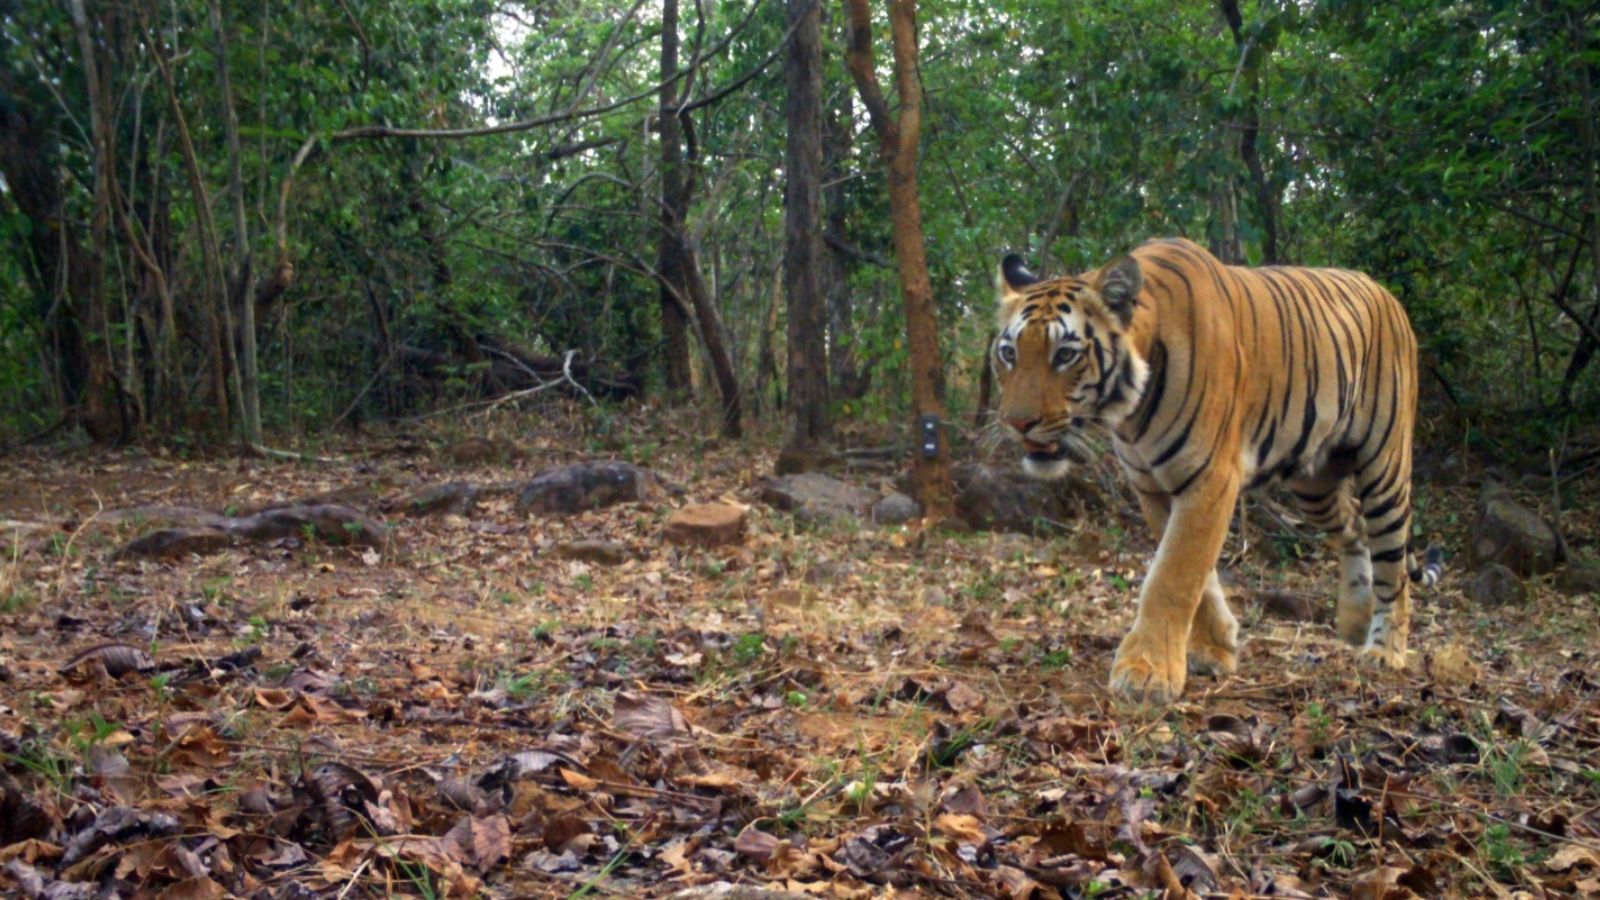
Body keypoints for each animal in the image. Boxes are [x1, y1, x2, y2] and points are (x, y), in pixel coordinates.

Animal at [992, 237, 1443, 704]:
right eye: (1009, 354)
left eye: (1065, 355)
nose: (1016, 423)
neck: (1130, 413)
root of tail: (1386, 293)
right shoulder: (1153, 486)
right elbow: (1196, 574)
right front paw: (1214, 648)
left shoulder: (1210, 479)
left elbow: (1173, 574)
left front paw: (1146, 672)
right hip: (1313, 482)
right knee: (1354, 527)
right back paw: (1356, 619)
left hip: (1385, 467)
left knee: (1394, 564)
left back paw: (1384, 650)